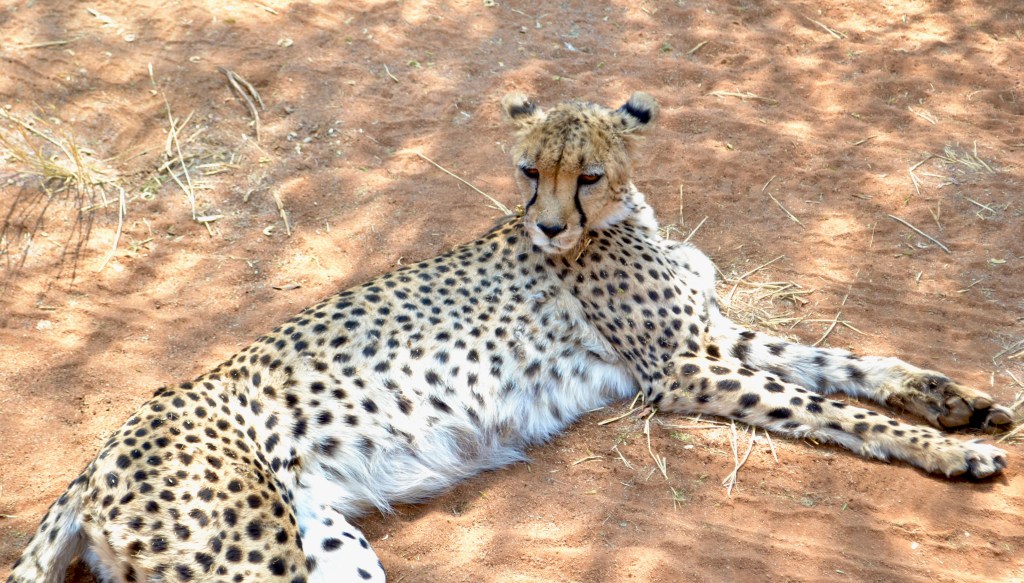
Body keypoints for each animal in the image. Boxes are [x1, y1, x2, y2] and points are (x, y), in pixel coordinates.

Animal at [7, 91, 1014, 583]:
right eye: (529, 171)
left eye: (589, 172)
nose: (549, 229)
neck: (627, 217)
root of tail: (103, 448)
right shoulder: (681, 370)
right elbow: (825, 403)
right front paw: (947, 450)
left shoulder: (709, 337)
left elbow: (846, 363)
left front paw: (955, 401)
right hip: (251, 557)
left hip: (327, 548)